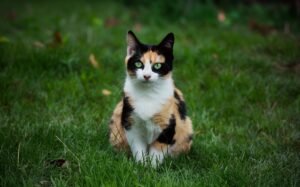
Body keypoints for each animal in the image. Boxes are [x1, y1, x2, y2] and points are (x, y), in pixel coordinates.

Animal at [109, 30, 193, 167]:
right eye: (138, 63)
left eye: (157, 66)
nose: (146, 76)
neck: (147, 95)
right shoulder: (131, 125)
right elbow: (139, 150)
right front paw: (141, 166)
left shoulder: (168, 127)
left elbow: (157, 152)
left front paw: (152, 168)